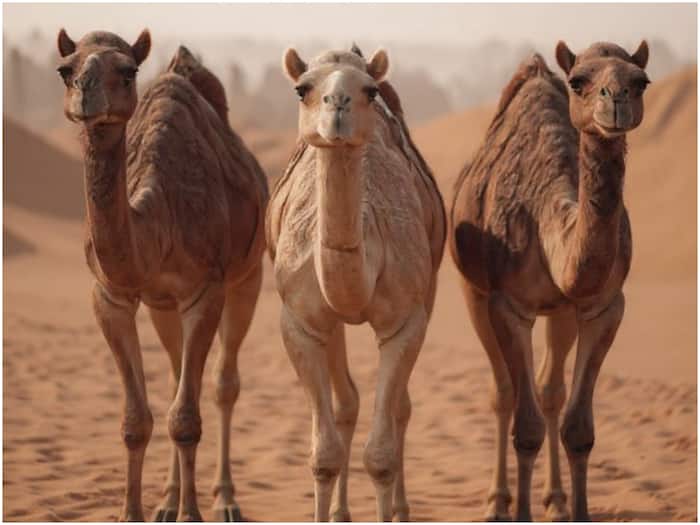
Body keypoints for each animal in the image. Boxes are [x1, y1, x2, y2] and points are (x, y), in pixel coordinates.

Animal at [56, 29, 268, 521]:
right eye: (65, 69)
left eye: (128, 70)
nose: (86, 93)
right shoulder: (111, 296)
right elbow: (137, 421)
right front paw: (131, 513)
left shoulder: (205, 292)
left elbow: (186, 420)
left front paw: (193, 514)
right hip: (162, 307)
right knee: (175, 379)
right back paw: (167, 501)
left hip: (247, 278)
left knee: (223, 384)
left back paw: (224, 499)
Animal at [266, 45, 446, 521]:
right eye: (303, 88)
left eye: (369, 90)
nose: (338, 107)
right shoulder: (300, 324)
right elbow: (323, 454)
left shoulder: (405, 322)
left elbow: (380, 455)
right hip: (331, 324)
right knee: (347, 401)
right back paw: (340, 511)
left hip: (431, 287)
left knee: (400, 407)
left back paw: (400, 508)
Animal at [449, 40, 650, 521]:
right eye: (579, 81)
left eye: (641, 81)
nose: (615, 100)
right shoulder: (507, 306)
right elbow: (526, 427)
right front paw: (517, 510)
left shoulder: (604, 306)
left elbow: (578, 427)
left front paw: (577, 510)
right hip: (472, 292)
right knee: (503, 392)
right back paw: (496, 502)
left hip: (559, 312)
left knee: (549, 391)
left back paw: (555, 499)